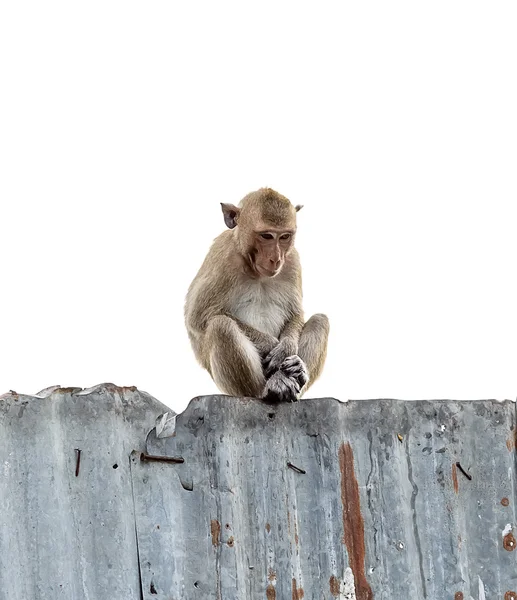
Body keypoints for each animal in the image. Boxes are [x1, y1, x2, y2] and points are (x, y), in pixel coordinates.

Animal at [185, 189, 328, 404]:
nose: (276, 259)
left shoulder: (292, 260)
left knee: (320, 320)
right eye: (266, 236)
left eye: (284, 236)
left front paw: (286, 348)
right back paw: (268, 388)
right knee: (221, 325)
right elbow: (198, 317)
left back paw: (299, 374)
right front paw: (272, 345)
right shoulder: (225, 259)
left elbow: (295, 314)